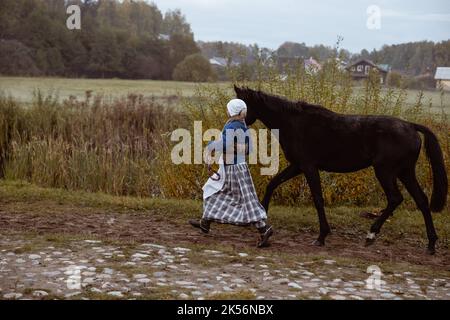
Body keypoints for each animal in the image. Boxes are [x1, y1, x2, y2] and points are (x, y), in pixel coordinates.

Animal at [234, 85, 448, 255]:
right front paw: (259, 219)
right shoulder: (297, 166)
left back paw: (371, 234)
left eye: (241, 105)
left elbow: (318, 199)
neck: (293, 123)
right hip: (405, 172)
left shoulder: (308, 167)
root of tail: (410, 126)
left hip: (385, 171)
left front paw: (321, 236)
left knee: (396, 198)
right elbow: (272, 184)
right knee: (421, 200)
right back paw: (431, 244)